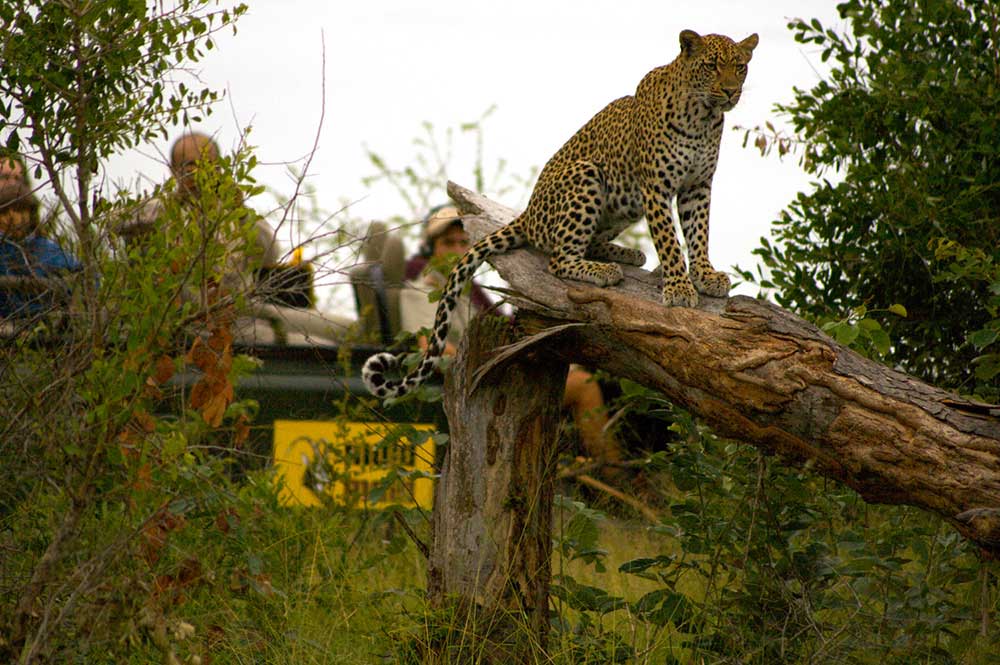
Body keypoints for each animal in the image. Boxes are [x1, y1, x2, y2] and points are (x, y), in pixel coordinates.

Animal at [364, 29, 760, 400]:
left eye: (740, 67)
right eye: (711, 66)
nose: (730, 92)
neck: (703, 117)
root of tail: (527, 213)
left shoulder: (698, 186)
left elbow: (698, 234)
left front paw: (704, 275)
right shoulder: (655, 187)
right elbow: (669, 239)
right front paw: (678, 286)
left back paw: (625, 255)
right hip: (587, 174)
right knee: (558, 258)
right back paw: (602, 271)